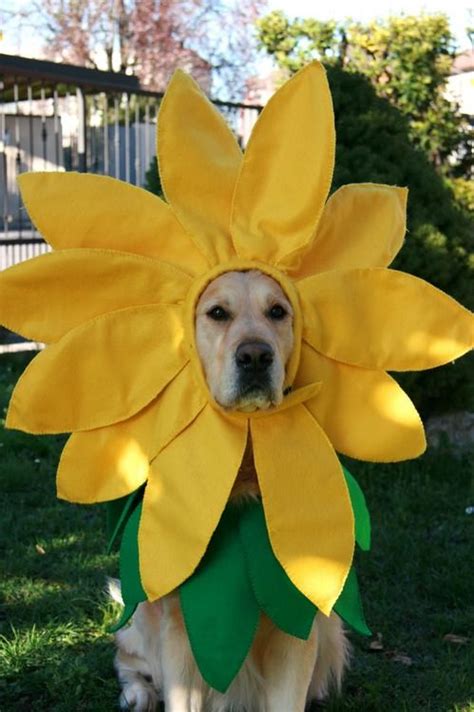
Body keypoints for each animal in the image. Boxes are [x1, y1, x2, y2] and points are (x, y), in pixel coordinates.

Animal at [111, 270, 348, 708]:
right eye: (217, 313)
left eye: (278, 311)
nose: (255, 357)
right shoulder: (181, 630)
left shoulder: (296, 624)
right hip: (139, 622)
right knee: (129, 662)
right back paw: (138, 694)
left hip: (331, 631)